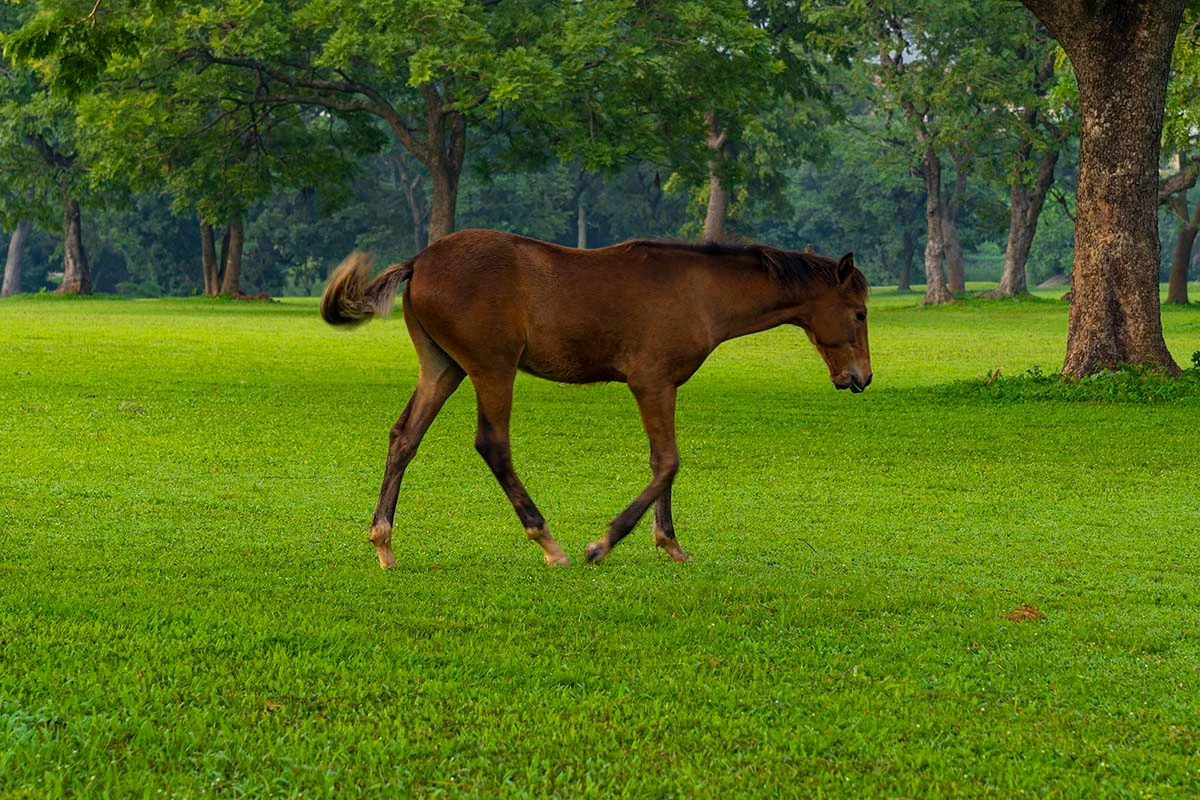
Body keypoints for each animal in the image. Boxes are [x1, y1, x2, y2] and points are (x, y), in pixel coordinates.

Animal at [321, 226, 873, 568]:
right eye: (861, 313)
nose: (861, 377)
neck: (701, 291)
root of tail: (420, 260)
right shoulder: (650, 381)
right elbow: (668, 462)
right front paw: (603, 543)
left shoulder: (664, 387)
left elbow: (660, 462)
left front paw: (670, 544)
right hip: (492, 367)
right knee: (492, 444)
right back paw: (549, 542)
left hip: (444, 367)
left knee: (404, 437)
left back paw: (384, 543)